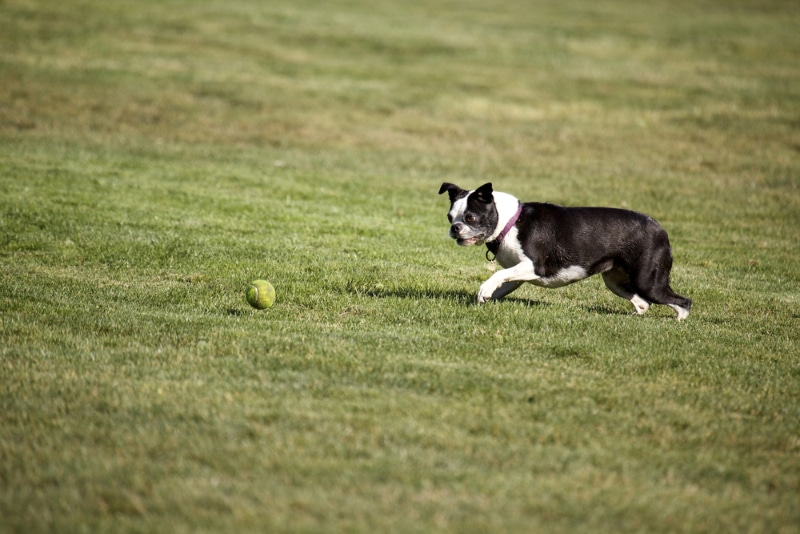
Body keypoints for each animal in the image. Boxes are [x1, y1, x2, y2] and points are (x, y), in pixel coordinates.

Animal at [440, 182, 692, 320]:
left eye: (470, 218)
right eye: (450, 217)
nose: (455, 228)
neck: (511, 222)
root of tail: (660, 229)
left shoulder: (534, 266)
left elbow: (497, 274)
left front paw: (484, 289)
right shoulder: (518, 272)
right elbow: (503, 282)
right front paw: (484, 298)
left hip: (648, 281)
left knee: (683, 301)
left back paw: (680, 321)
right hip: (616, 281)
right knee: (643, 303)